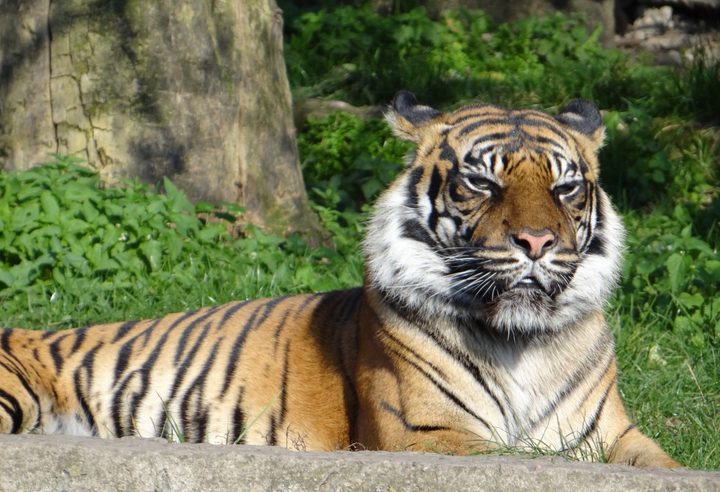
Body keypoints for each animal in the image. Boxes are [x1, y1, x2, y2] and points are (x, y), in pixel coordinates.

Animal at [0, 91, 679, 468]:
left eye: (565, 187)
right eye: (482, 182)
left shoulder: (612, 435)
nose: (538, 243)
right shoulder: (425, 434)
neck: (523, 342)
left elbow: (662, 468)